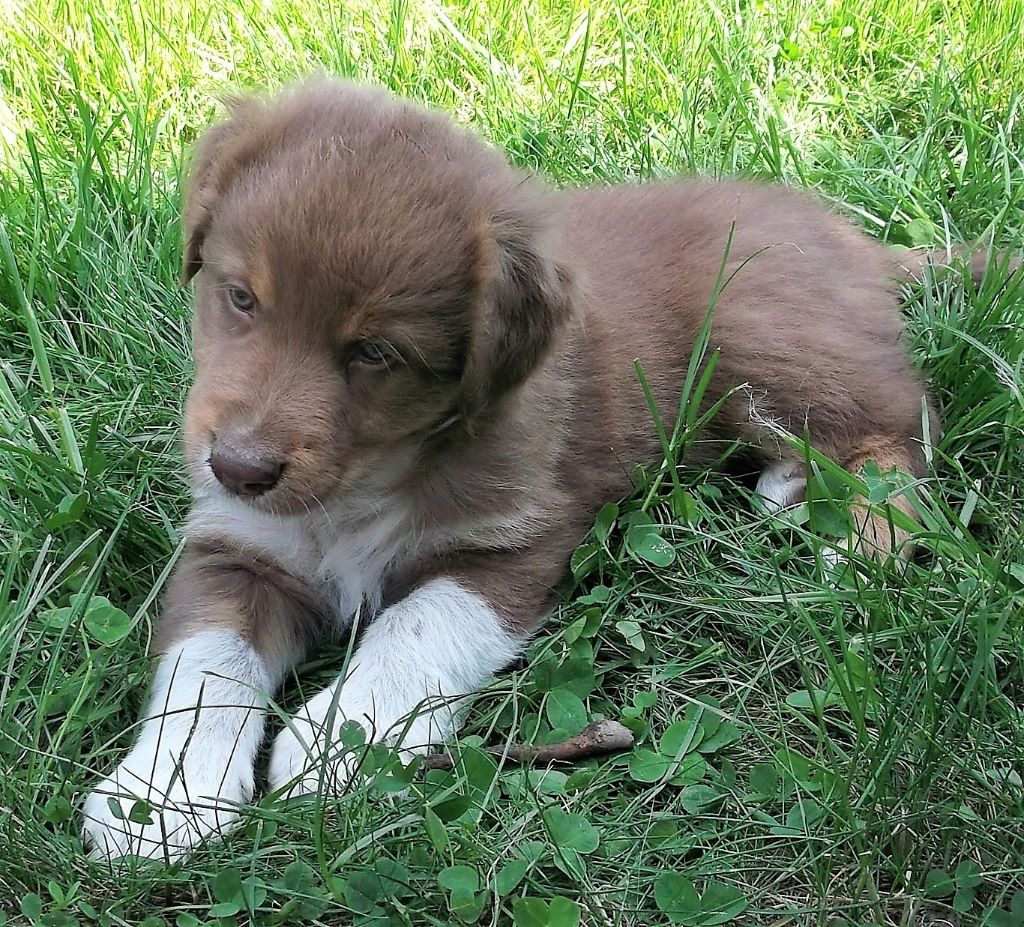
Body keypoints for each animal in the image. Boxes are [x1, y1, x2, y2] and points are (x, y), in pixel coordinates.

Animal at [80, 78, 1002, 860]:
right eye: (242, 298)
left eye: (376, 353)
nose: (236, 467)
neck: (372, 475)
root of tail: (855, 239)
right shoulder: (237, 545)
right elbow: (206, 663)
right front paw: (160, 795)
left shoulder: (511, 542)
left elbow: (414, 628)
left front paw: (337, 744)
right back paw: (790, 489)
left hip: (761, 341)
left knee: (903, 425)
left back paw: (859, 545)